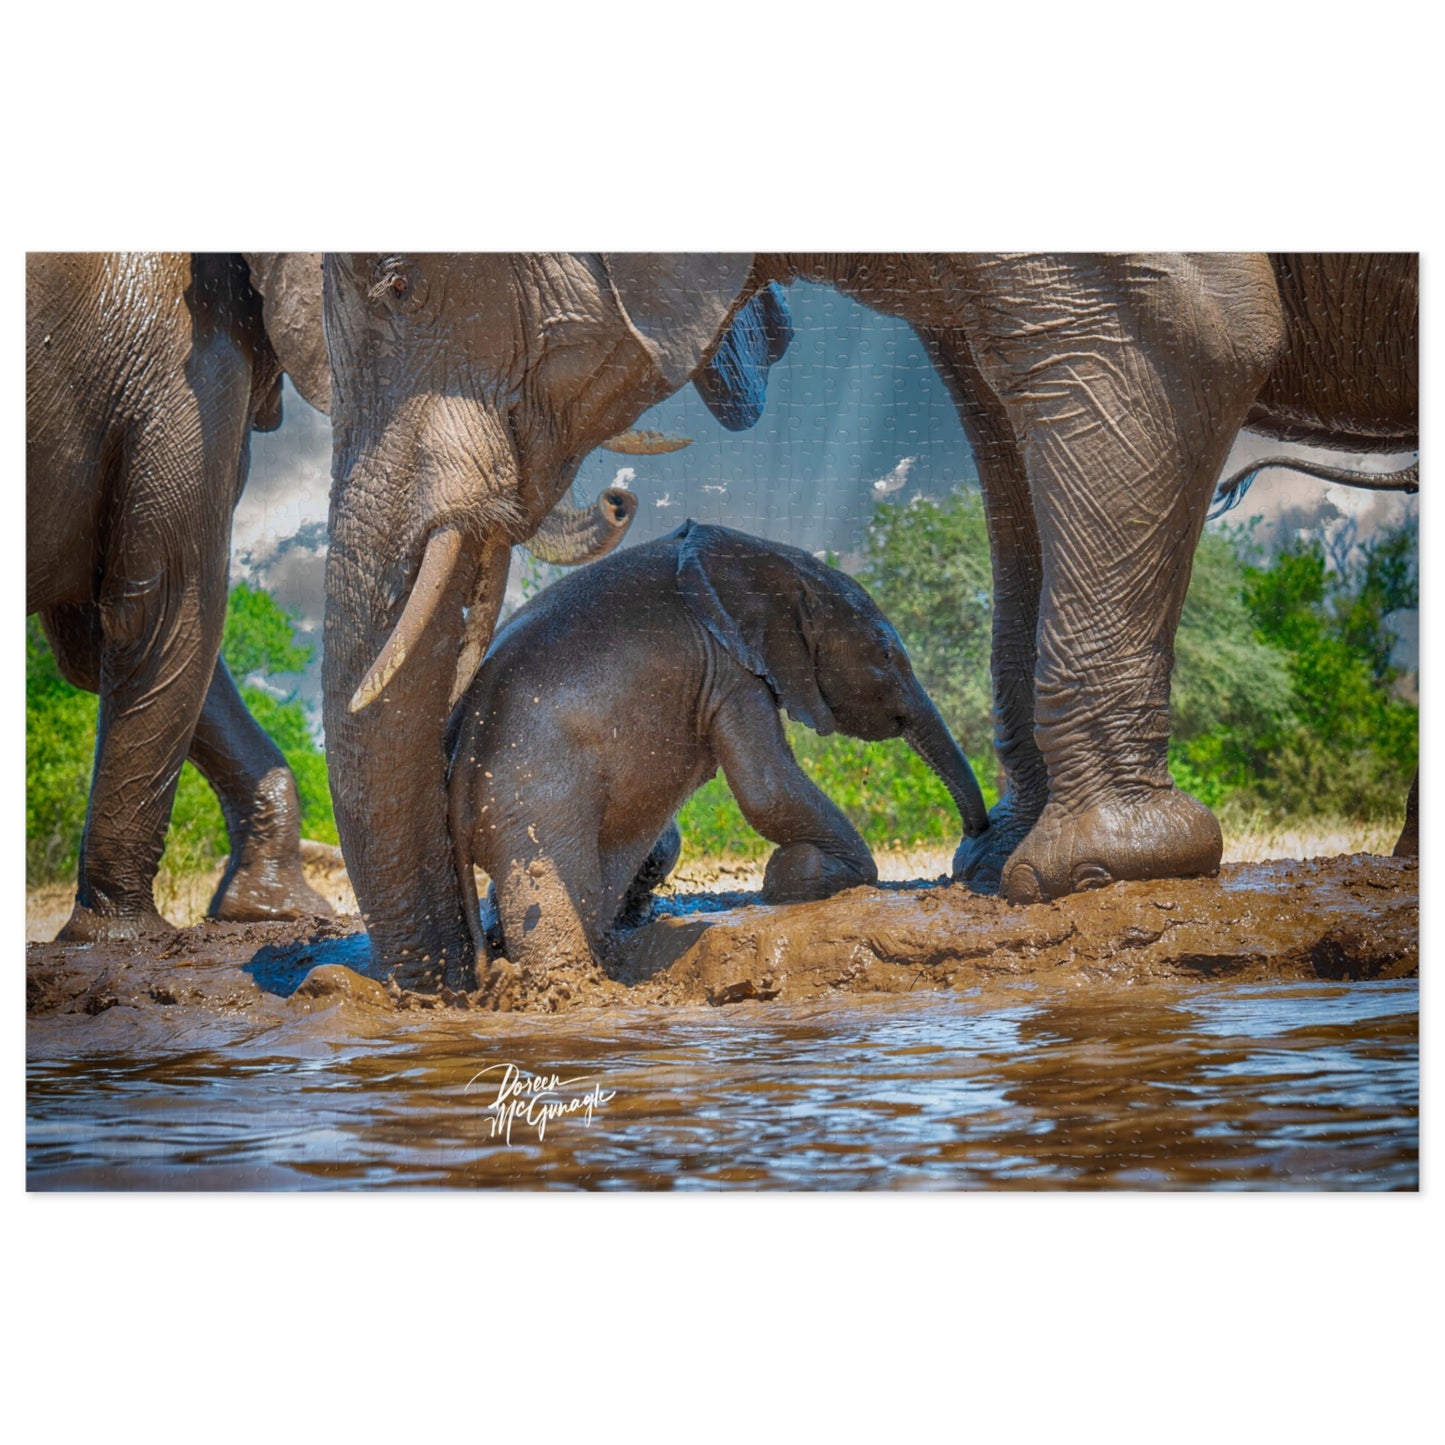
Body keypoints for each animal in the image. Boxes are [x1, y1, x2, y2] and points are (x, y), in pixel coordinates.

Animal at [26, 252, 634, 943]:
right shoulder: (182, 360)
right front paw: (121, 937)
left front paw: (272, 908)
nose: (620, 497)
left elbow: (99, 641)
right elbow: (164, 611)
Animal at [447, 521, 989, 981]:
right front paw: (817, 874)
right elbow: (767, 789)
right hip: (535, 802)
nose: (974, 838)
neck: (769, 560)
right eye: (885, 654)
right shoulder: (730, 668)